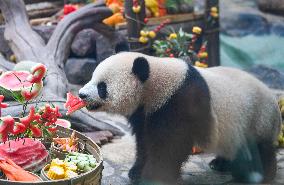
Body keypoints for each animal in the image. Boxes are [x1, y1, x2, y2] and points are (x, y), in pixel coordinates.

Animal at [79, 51, 282, 184]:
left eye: (102, 87)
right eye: (92, 77)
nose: (81, 94)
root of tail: (274, 102)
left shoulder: (180, 104)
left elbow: (168, 146)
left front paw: (153, 177)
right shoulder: (145, 112)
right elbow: (144, 141)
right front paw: (136, 172)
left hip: (257, 117)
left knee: (258, 149)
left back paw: (260, 175)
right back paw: (220, 164)